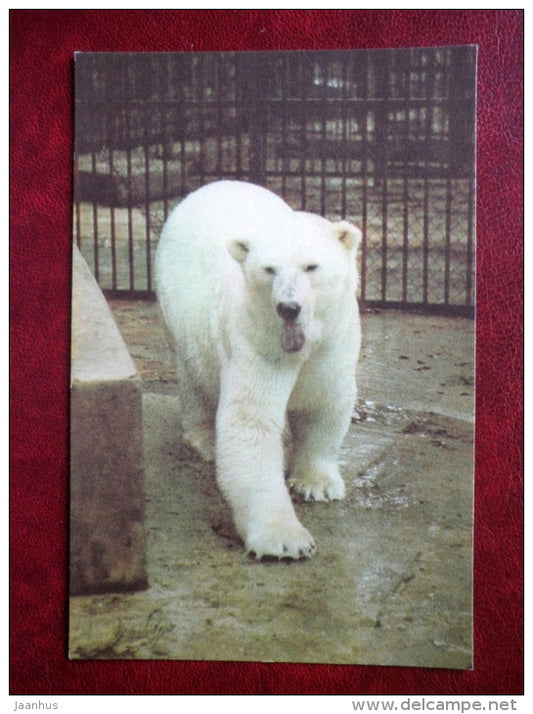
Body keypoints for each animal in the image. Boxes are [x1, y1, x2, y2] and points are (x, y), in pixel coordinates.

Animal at [155, 180, 361, 560]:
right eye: (269, 269)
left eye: (311, 267)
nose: (288, 307)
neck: (300, 345)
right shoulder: (256, 342)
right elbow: (250, 422)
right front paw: (285, 540)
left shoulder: (334, 344)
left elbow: (325, 404)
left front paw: (317, 484)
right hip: (176, 310)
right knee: (193, 378)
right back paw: (205, 439)